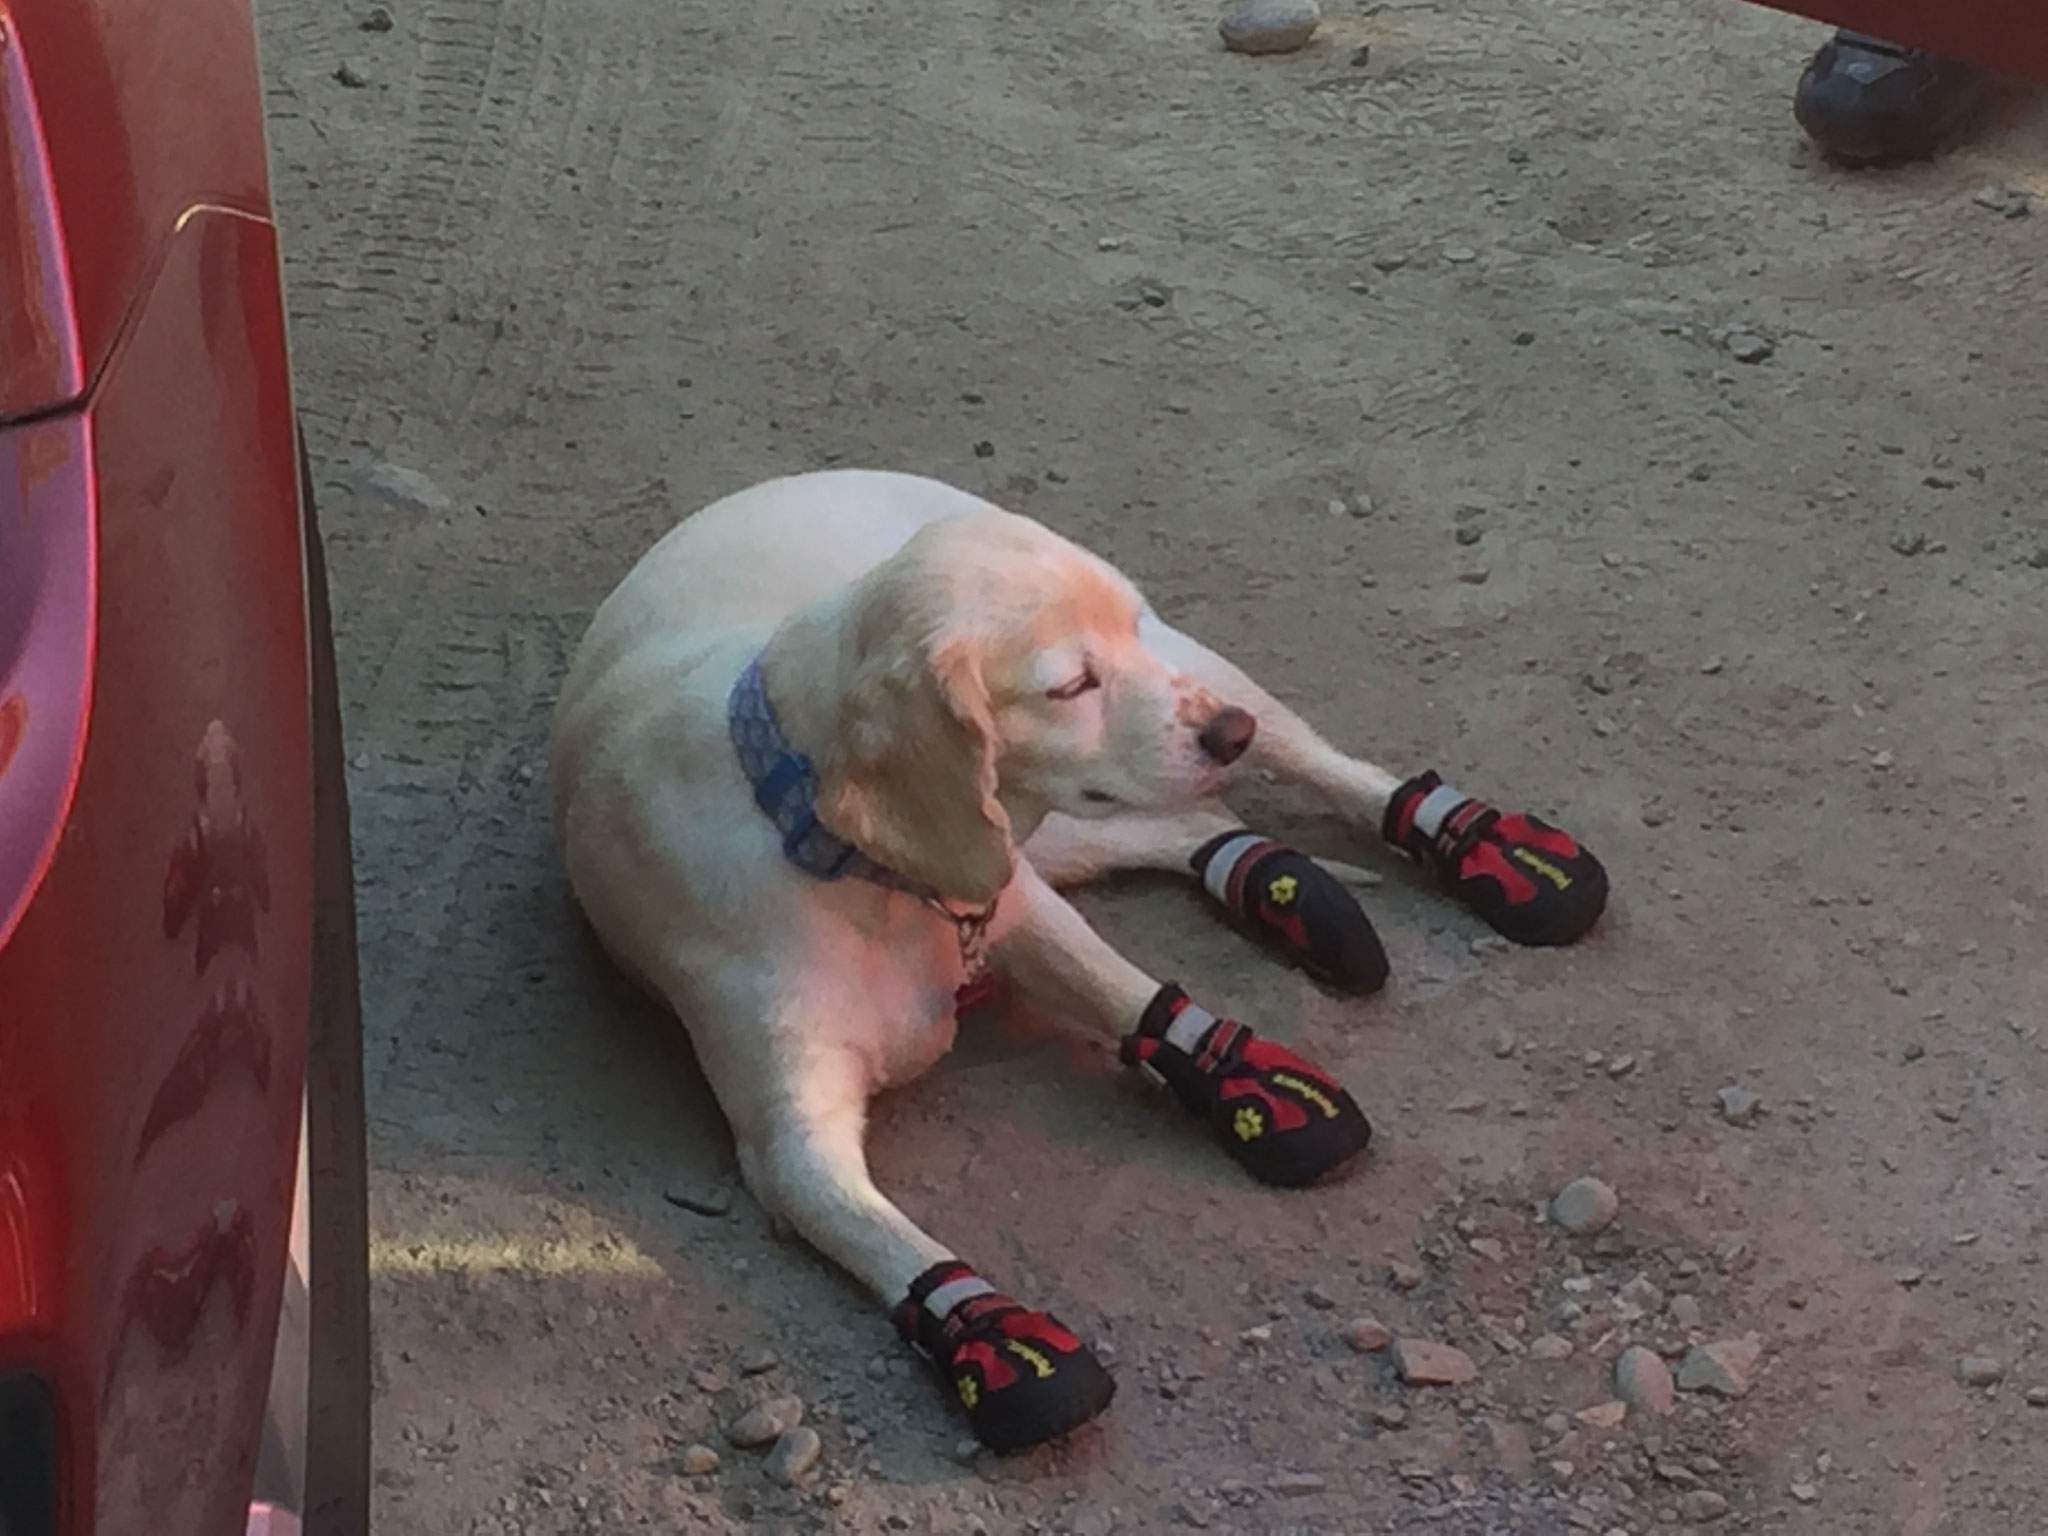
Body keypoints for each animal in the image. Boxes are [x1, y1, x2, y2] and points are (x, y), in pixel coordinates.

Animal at [552, 468, 1605, 1458]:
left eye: (1124, 638)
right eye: (1068, 686)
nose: (1226, 734)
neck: (851, 866)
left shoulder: (1021, 911)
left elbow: (1126, 993)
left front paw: (1245, 1075)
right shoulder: (790, 1139)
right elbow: (883, 1236)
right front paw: (999, 1340)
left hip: (1201, 692)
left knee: (1322, 772)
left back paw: (1484, 851)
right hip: (1072, 832)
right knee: (1187, 825)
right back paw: (1283, 885)